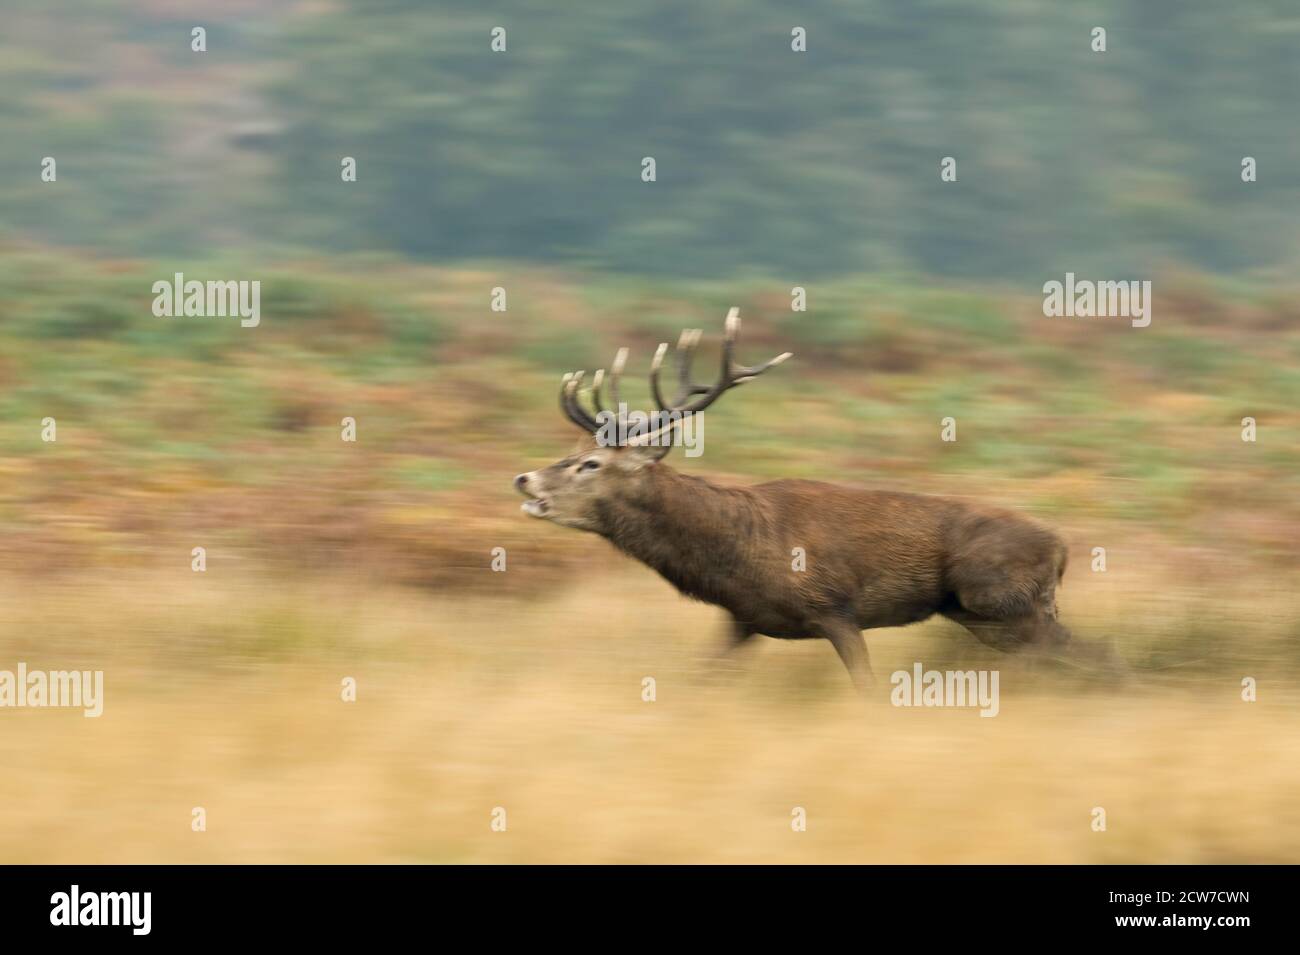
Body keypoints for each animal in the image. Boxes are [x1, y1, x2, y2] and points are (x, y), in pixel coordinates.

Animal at [512, 310, 1092, 691]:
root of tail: (1063, 549)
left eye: (591, 464)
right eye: (572, 451)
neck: (737, 556)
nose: (524, 480)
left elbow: (866, 688)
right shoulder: (743, 620)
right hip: (988, 615)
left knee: (1088, 654)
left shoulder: (834, 607)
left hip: (1004, 600)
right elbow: (699, 679)